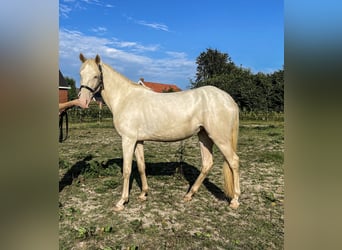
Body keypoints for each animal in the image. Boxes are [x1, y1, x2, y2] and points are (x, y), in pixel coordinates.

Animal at [77, 54, 240, 211]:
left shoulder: (128, 140)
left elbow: (127, 170)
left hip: (219, 138)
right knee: (207, 163)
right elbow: (141, 166)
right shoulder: (138, 141)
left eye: (96, 76)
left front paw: (122, 202)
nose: (83, 101)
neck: (125, 98)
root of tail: (228, 98)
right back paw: (189, 195)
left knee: (233, 161)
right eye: (81, 74)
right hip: (204, 136)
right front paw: (143, 194)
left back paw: (235, 201)